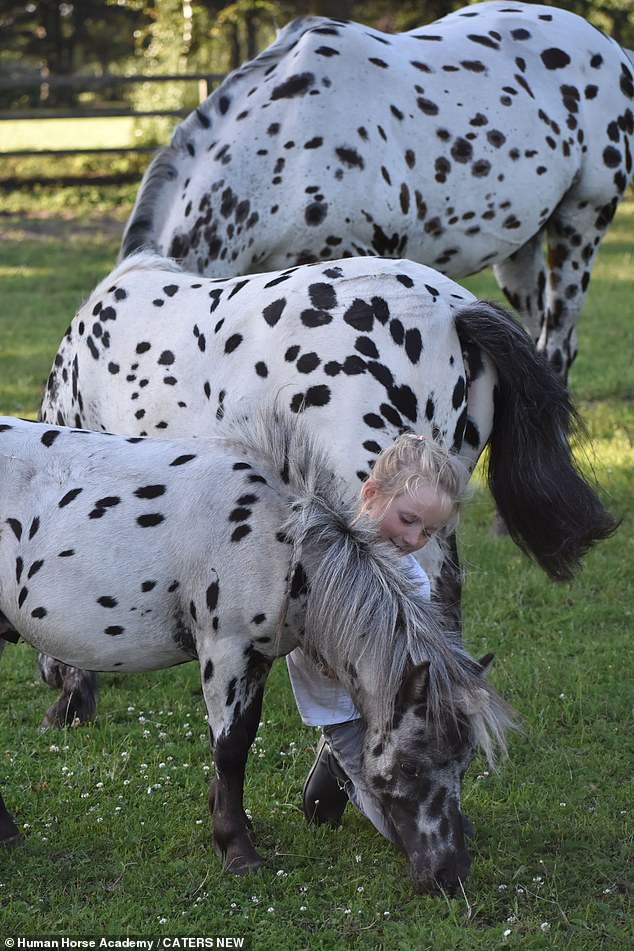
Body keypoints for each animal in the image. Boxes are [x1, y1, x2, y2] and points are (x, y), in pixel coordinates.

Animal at [0, 406, 512, 896]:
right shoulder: (227, 650)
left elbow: (243, 738)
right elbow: (230, 748)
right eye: (409, 764)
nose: (450, 874)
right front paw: (237, 851)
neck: (280, 541)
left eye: (464, 763)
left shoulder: (258, 657)